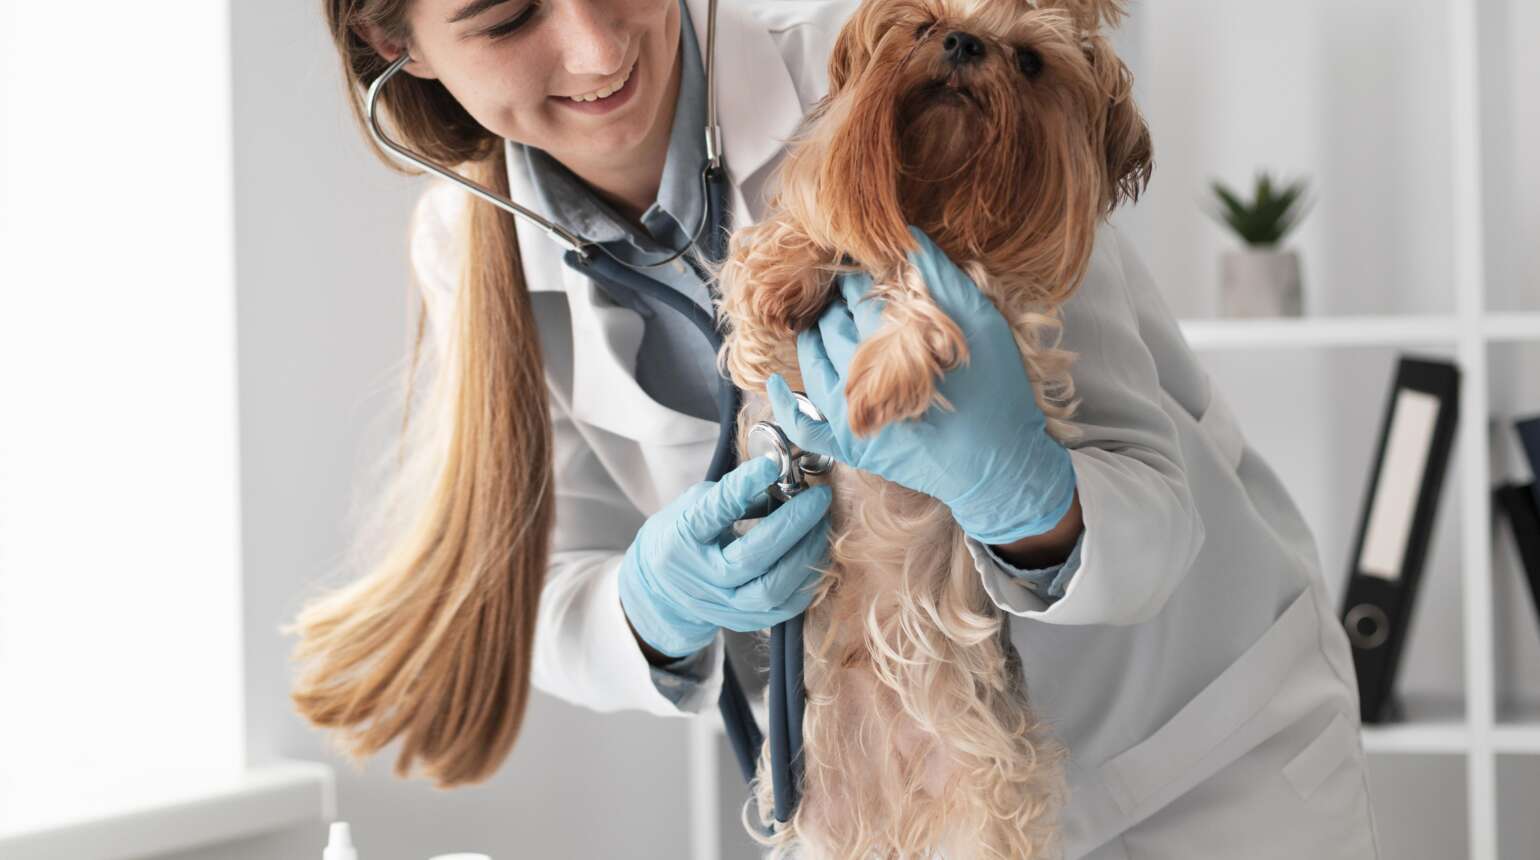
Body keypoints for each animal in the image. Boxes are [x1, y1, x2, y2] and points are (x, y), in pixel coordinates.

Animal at [714, 1, 1151, 860]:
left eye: (1029, 62)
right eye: (922, 26)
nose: (962, 42)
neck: (935, 200)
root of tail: (890, 817)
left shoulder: (1008, 322)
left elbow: (947, 289)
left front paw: (879, 377)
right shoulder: (772, 374)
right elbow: (775, 267)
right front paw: (792, 271)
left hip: (987, 805)